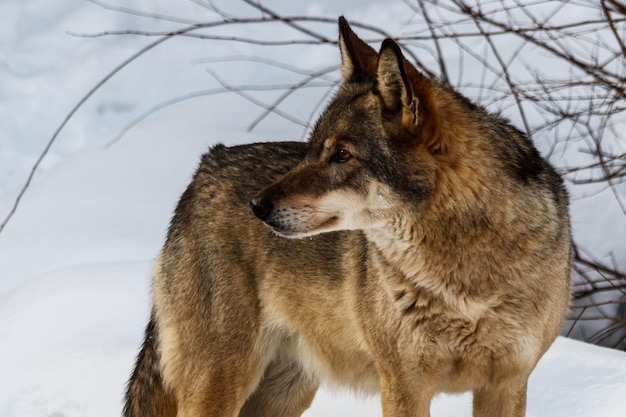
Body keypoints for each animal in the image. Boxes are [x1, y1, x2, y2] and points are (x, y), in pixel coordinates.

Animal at [123, 17, 572, 416]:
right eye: (311, 149)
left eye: (341, 154)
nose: (257, 207)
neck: (464, 278)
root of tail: (204, 168)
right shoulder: (404, 385)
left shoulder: (508, 383)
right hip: (221, 382)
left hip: (286, 391)